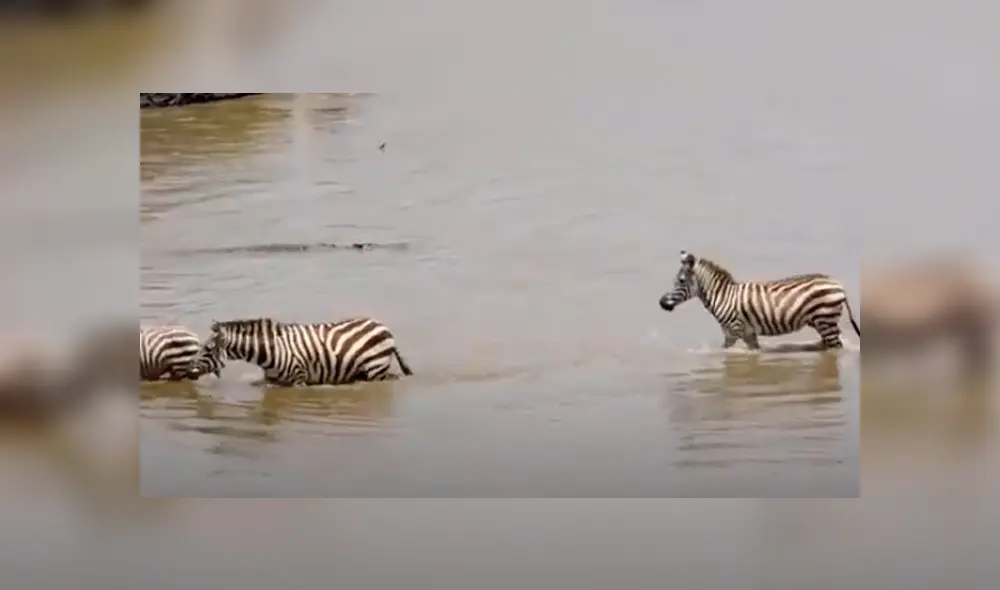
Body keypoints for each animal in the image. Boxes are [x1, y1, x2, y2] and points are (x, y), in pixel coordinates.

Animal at [191, 317, 413, 387]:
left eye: (207, 350)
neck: (270, 352)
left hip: (376, 369)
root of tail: (383, 326)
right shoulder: (272, 381)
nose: (190, 372)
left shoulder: (299, 380)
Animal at [658, 250, 861, 350]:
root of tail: (838, 284)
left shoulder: (733, 331)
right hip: (821, 322)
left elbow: (724, 352)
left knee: (836, 347)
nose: (661, 303)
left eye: (680, 281)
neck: (723, 296)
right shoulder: (748, 333)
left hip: (825, 320)